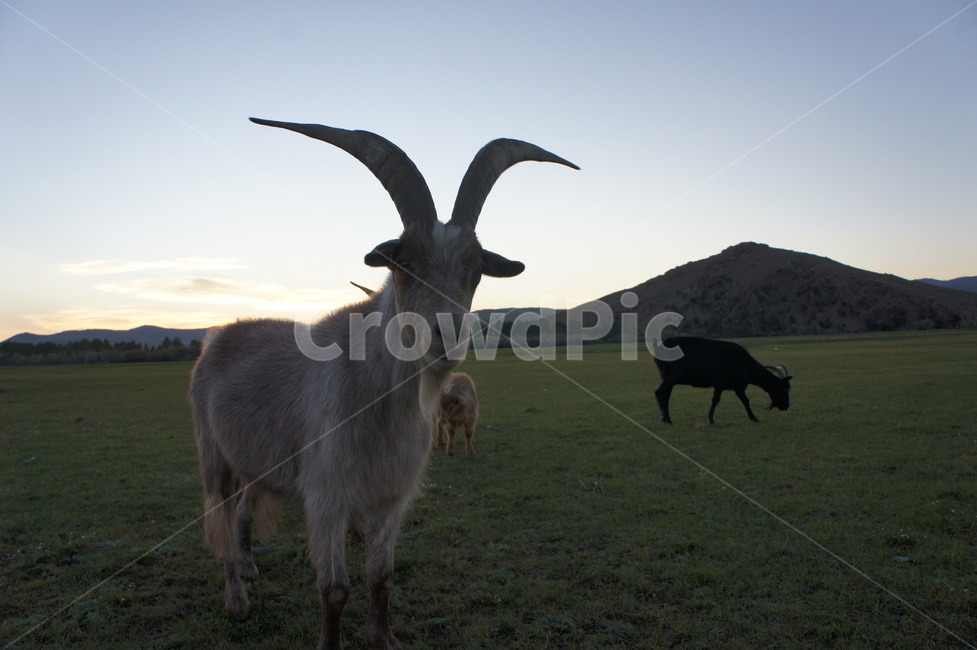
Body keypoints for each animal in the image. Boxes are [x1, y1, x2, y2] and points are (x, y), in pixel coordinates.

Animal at [189, 118, 577, 650]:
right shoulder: (327, 496)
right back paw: (237, 599)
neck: (378, 398)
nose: (448, 334)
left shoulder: (391, 496)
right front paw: (331, 642)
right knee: (223, 524)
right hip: (214, 457)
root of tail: (216, 337)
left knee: (246, 512)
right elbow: (335, 590)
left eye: (477, 268)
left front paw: (384, 637)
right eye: (404, 262)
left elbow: (381, 576)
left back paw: (249, 569)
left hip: (258, 461)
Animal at [653, 336, 792, 424]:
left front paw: (754, 418)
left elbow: (745, 401)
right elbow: (716, 400)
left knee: (662, 393)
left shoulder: (738, 386)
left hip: (669, 380)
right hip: (670, 378)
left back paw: (665, 418)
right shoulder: (720, 383)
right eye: (785, 390)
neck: (744, 363)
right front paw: (710, 420)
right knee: (661, 393)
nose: (786, 406)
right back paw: (668, 419)